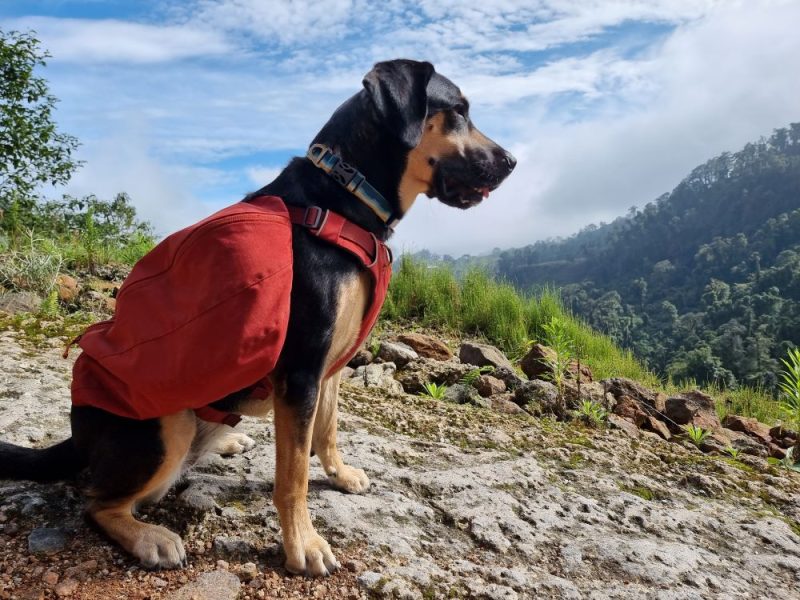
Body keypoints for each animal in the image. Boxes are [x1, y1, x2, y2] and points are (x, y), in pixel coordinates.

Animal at [0, 59, 516, 576]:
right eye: (458, 111)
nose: (512, 161)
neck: (344, 192)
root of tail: (76, 436)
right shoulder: (301, 372)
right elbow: (294, 476)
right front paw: (303, 543)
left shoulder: (330, 367)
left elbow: (327, 429)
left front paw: (340, 473)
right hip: (166, 426)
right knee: (97, 502)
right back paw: (149, 536)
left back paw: (226, 442)